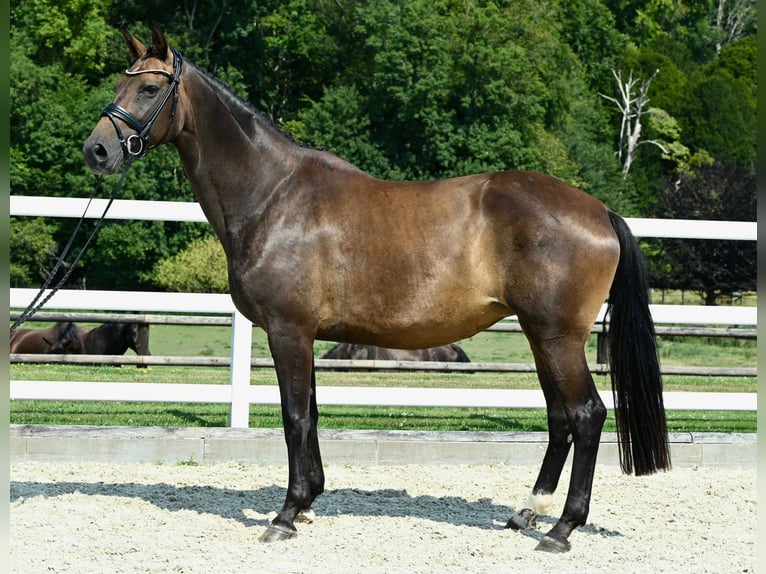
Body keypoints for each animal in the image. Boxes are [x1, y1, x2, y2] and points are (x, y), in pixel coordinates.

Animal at [84, 29, 672, 556]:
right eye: (119, 83)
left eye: (148, 88)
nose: (97, 150)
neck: (274, 195)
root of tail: (599, 210)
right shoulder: (305, 336)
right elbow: (312, 414)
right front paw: (309, 502)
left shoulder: (288, 331)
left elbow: (295, 418)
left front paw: (285, 515)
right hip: (541, 335)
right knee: (560, 417)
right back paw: (528, 512)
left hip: (557, 336)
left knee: (586, 415)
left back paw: (561, 530)